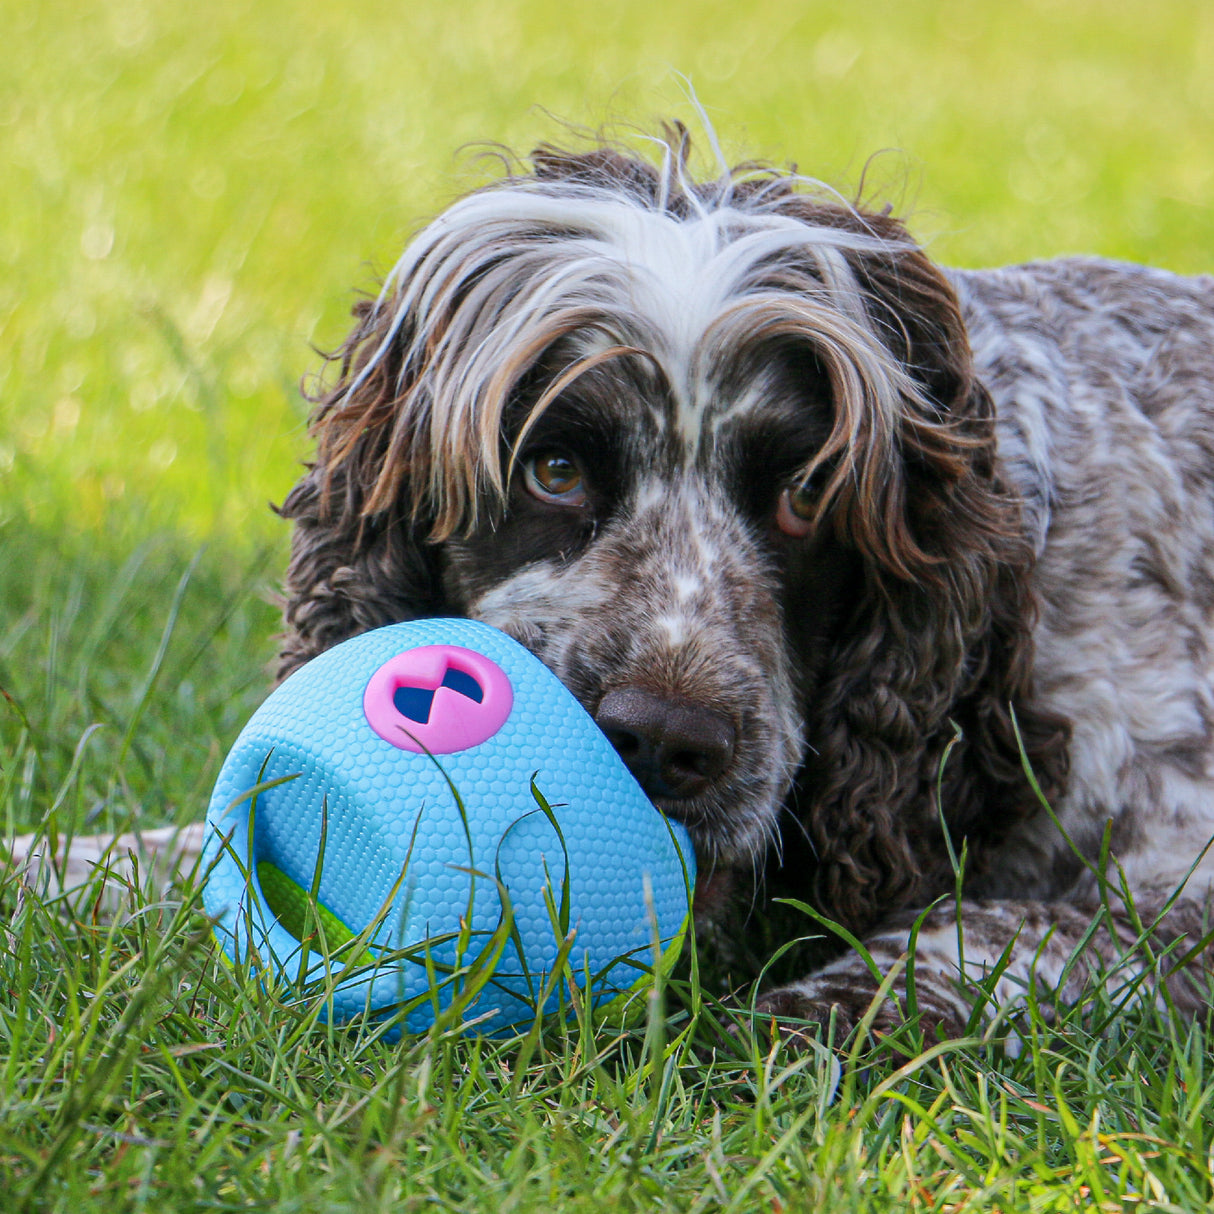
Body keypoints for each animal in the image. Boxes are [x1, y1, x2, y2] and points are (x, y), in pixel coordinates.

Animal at [16, 132, 1214, 1039]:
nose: (666, 742)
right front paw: (50, 863)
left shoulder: (1177, 884)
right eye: (554, 468)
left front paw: (799, 1027)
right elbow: (189, 847)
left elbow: (996, 937)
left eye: (805, 498)